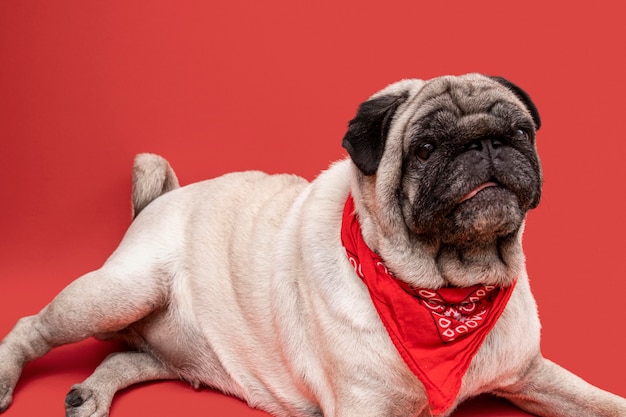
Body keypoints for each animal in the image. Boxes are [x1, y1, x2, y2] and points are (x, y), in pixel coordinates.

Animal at [1, 75, 624, 416]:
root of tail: (159, 200)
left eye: (520, 131)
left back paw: (90, 394)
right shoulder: (366, 409)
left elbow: (598, 400)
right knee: (32, 326)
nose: (485, 143)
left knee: (124, 357)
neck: (449, 291)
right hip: (120, 292)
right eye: (425, 148)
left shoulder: (531, 373)